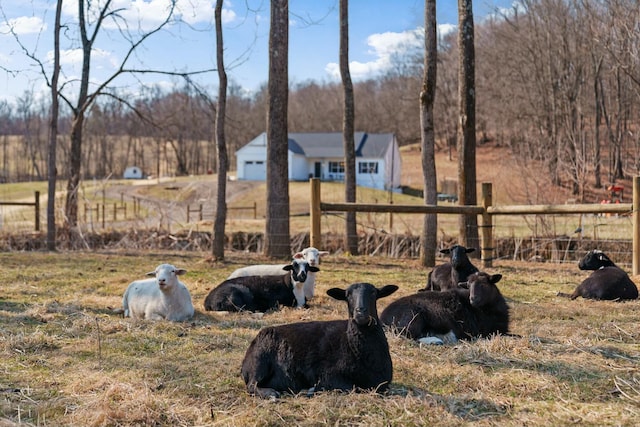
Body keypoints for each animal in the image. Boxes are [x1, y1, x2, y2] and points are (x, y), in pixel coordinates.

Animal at [241, 282, 398, 400]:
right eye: (347, 295)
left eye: (373, 293)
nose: (360, 312)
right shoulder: (329, 374)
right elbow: (348, 387)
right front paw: (311, 390)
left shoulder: (383, 382)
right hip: (260, 359)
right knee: (252, 385)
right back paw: (272, 394)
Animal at [380, 272, 510, 346]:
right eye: (468, 286)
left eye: (484, 284)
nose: (473, 299)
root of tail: (383, 318)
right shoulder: (486, 332)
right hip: (412, 317)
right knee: (408, 336)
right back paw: (435, 341)